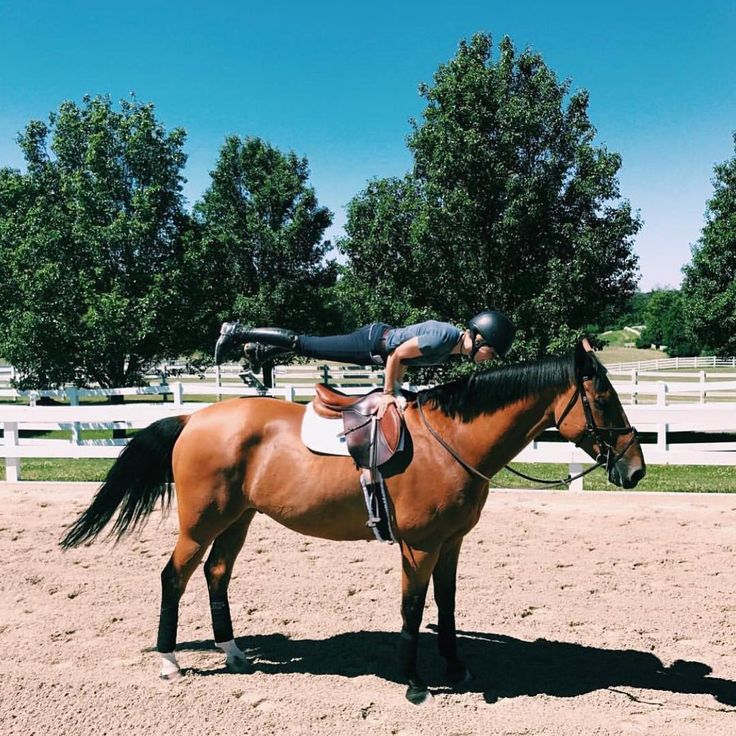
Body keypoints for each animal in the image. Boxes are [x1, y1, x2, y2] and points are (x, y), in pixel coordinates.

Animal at [60, 340, 644, 700]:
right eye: (604, 399)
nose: (635, 469)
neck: (449, 441)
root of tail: (193, 417)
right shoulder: (419, 546)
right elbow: (412, 610)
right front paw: (413, 682)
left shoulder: (451, 543)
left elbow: (447, 608)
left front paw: (456, 668)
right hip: (201, 523)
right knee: (174, 577)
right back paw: (170, 661)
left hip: (238, 519)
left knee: (216, 575)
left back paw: (234, 653)